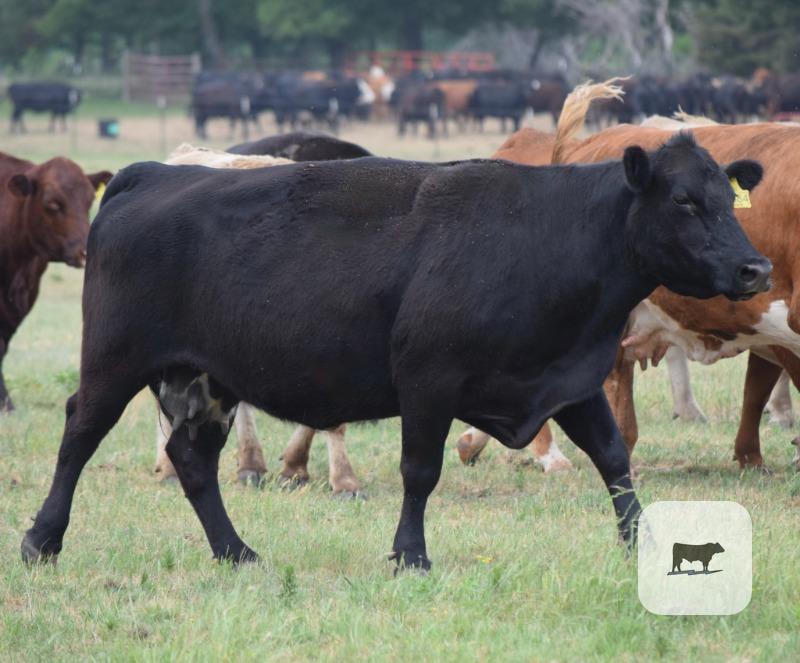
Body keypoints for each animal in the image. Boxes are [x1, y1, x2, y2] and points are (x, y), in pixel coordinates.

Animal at [21, 109, 769, 568]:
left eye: (727, 199)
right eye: (684, 202)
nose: (755, 268)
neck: (549, 234)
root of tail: (153, 173)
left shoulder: (568, 378)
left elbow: (615, 458)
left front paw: (641, 541)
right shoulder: (428, 379)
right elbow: (421, 470)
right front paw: (411, 553)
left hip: (210, 380)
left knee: (192, 459)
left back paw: (236, 552)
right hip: (115, 362)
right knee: (79, 434)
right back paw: (41, 539)